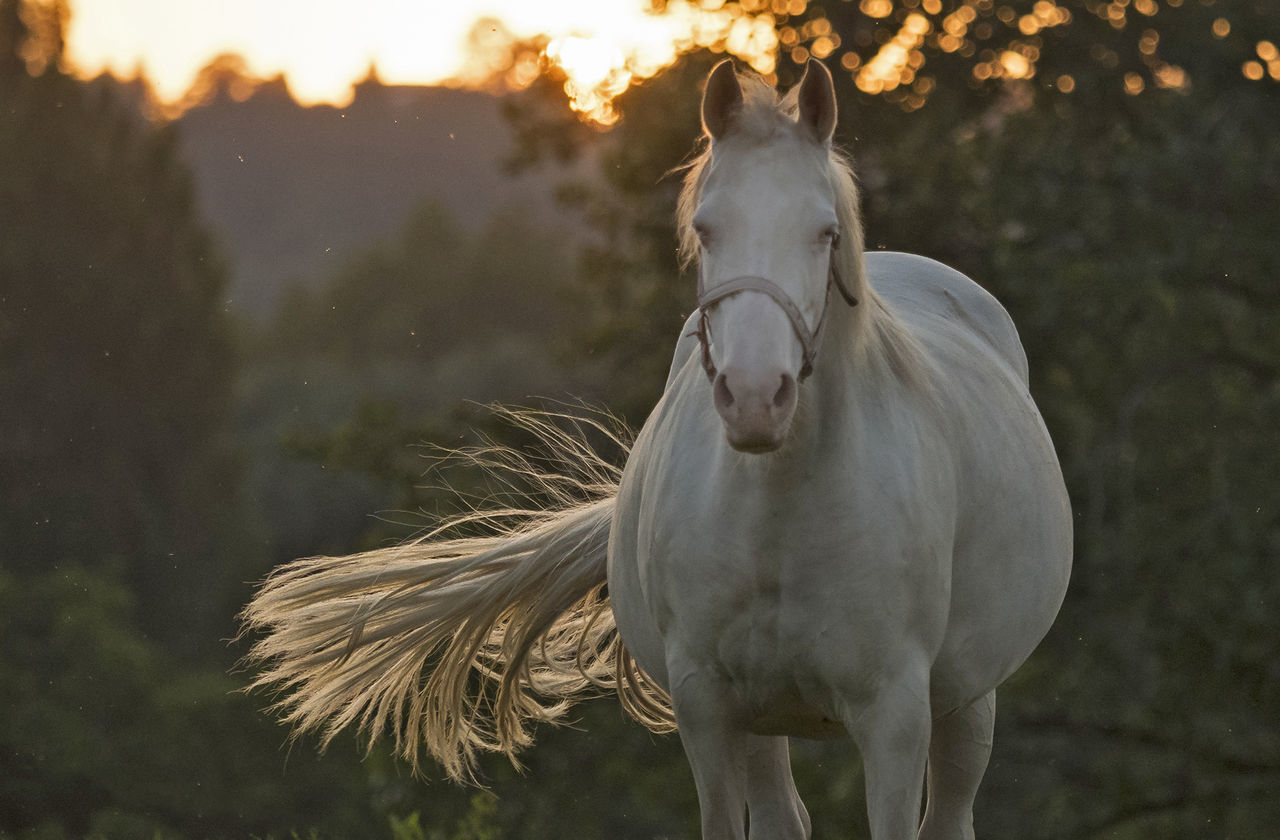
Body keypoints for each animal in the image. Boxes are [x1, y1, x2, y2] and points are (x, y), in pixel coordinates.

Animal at [240, 60, 1070, 840]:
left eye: (826, 233)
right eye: (705, 229)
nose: (755, 395)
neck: (784, 512)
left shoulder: (893, 718)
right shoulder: (708, 706)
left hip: (968, 700)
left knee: (950, 817)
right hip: (766, 720)